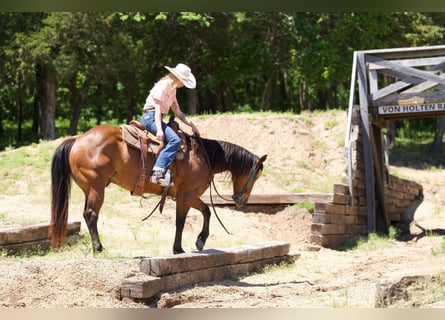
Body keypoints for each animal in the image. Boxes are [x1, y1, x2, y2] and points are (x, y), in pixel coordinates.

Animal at [50, 124, 266, 254]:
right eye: (256, 175)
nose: (241, 200)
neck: (202, 156)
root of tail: (77, 140)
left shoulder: (190, 195)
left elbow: (206, 211)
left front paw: (200, 241)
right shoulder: (186, 195)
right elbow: (180, 222)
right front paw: (178, 249)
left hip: (89, 188)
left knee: (87, 214)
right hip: (97, 187)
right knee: (91, 214)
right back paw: (99, 247)